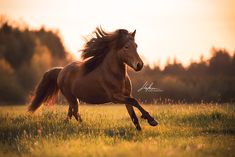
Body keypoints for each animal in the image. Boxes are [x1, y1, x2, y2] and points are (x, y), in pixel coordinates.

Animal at [28, 27, 158, 131]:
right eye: (126, 47)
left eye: (136, 46)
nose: (139, 65)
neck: (114, 74)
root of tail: (61, 70)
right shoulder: (115, 97)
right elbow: (135, 101)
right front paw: (152, 120)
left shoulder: (126, 96)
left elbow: (133, 114)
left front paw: (140, 130)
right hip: (71, 97)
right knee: (75, 112)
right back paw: (85, 126)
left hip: (73, 99)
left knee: (71, 113)